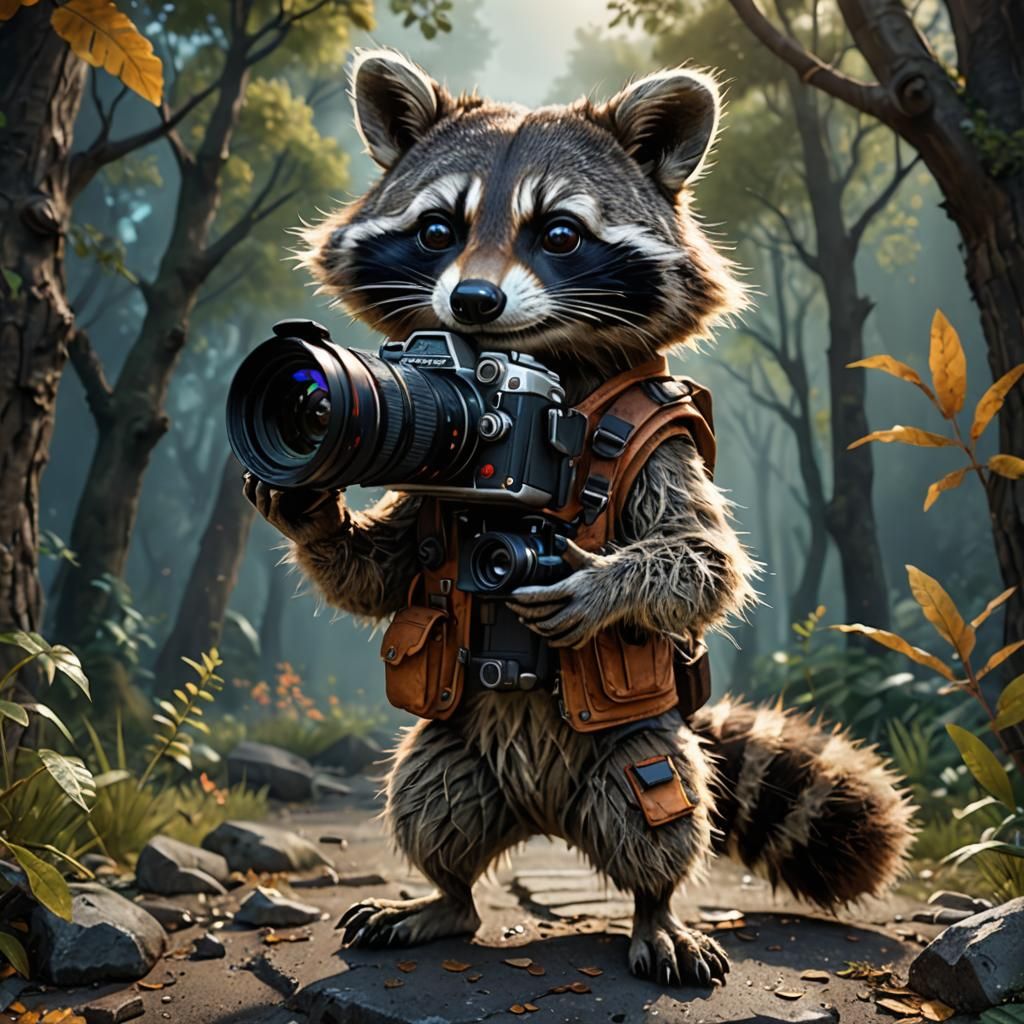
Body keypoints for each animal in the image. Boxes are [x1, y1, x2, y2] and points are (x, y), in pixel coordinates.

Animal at [246, 49, 915, 988]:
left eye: (558, 234)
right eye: (436, 230)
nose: (472, 302)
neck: (529, 386)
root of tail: (544, 819)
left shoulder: (663, 447)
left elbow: (705, 559)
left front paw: (597, 586)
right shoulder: (436, 482)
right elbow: (387, 575)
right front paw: (309, 509)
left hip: (637, 742)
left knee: (660, 805)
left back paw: (654, 911)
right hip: (452, 745)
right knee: (427, 798)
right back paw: (443, 898)